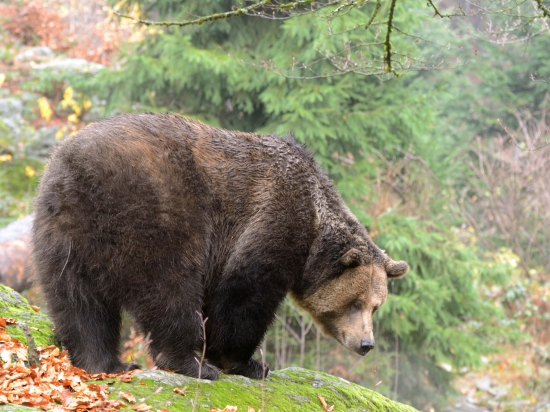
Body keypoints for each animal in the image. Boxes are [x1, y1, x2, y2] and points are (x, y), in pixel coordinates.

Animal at [31, 113, 410, 380]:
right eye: (356, 302)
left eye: (376, 307)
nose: (366, 344)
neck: (315, 225)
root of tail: (76, 166)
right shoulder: (273, 217)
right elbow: (246, 292)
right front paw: (248, 363)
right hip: (154, 211)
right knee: (169, 288)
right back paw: (191, 364)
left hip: (64, 231)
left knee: (78, 301)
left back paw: (105, 362)